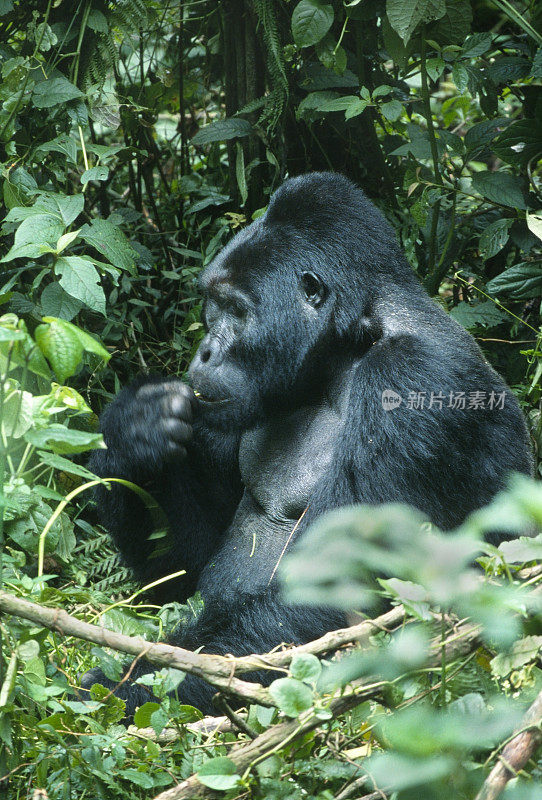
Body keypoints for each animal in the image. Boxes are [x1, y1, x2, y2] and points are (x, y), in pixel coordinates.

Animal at [85, 172, 536, 716]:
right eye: (213, 305)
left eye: (236, 310)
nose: (205, 351)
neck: (349, 340)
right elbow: (181, 569)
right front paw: (135, 433)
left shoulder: (413, 382)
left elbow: (328, 596)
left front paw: (123, 689)